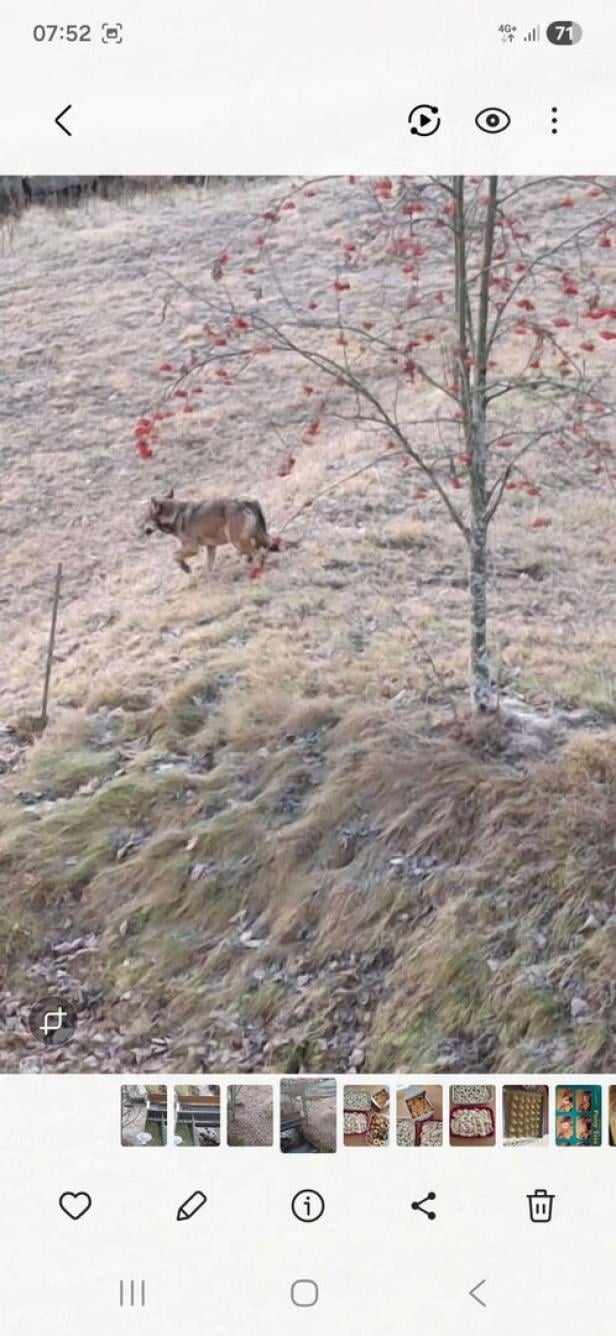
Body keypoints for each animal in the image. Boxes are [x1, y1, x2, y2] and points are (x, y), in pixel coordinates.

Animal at [143, 489, 276, 573]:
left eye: (146, 518)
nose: (144, 531)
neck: (176, 515)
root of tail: (244, 502)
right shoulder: (211, 546)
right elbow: (209, 566)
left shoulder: (192, 548)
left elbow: (174, 555)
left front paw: (186, 568)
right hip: (260, 537)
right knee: (267, 548)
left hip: (238, 542)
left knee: (258, 554)